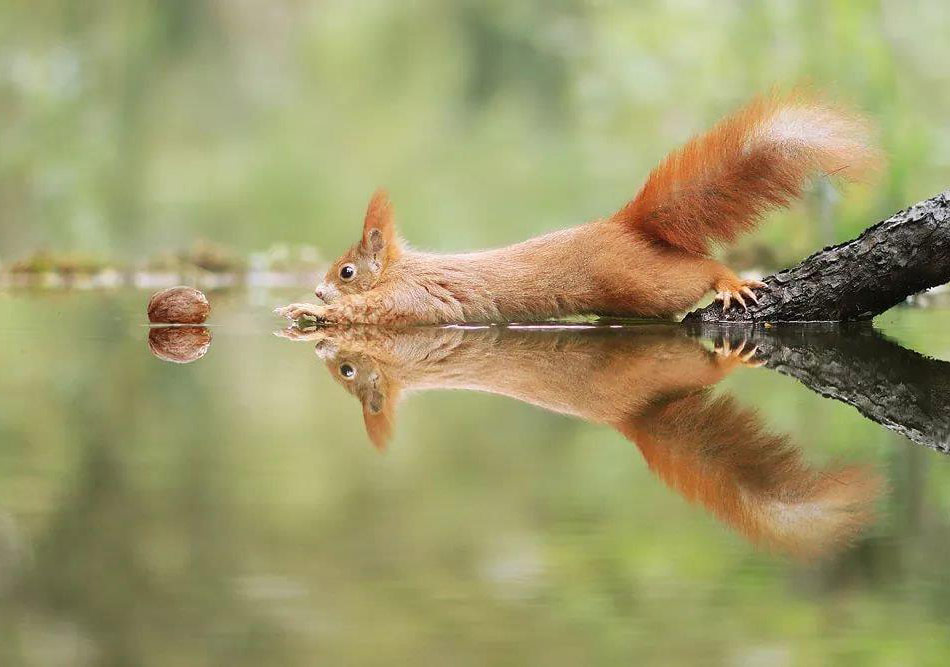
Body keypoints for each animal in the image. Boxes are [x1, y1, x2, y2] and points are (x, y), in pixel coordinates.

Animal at [276, 92, 876, 324]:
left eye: (346, 271)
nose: (318, 290)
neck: (403, 270)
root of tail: (620, 225)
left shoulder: (412, 299)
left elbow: (372, 315)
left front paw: (310, 311)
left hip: (640, 281)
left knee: (698, 271)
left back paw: (730, 281)